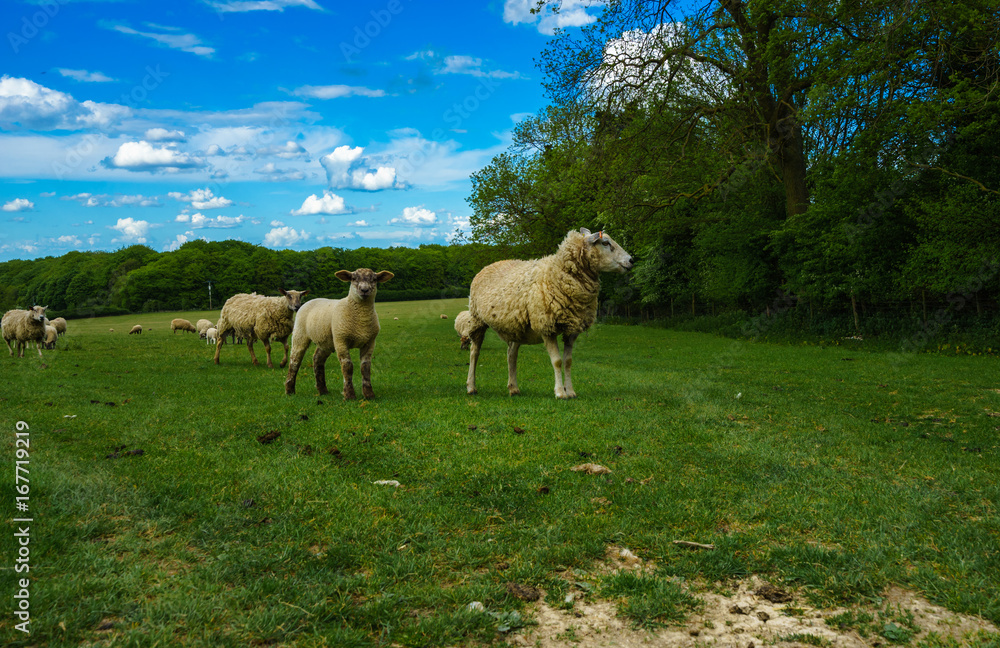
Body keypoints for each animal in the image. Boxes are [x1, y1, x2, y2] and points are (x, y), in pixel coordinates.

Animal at [284, 269, 393, 399]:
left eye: (374, 279)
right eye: (353, 278)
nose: (364, 290)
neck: (361, 320)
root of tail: (310, 300)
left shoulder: (369, 342)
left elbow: (365, 367)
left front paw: (369, 394)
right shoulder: (341, 340)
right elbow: (347, 366)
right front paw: (349, 395)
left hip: (326, 341)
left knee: (317, 359)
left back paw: (322, 390)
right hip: (300, 334)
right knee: (294, 361)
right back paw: (289, 390)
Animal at [466, 228, 633, 399]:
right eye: (605, 243)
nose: (631, 260)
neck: (558, 272)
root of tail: (488, 266)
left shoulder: (572, 328)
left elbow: (568, 361)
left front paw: (570, 391)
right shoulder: (546, 326)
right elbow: (557, 361)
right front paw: (560, 392)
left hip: (516, 326)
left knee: (511, 354)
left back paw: (513, 388)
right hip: (477, 318)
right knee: (474, 352)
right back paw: (471, 387)